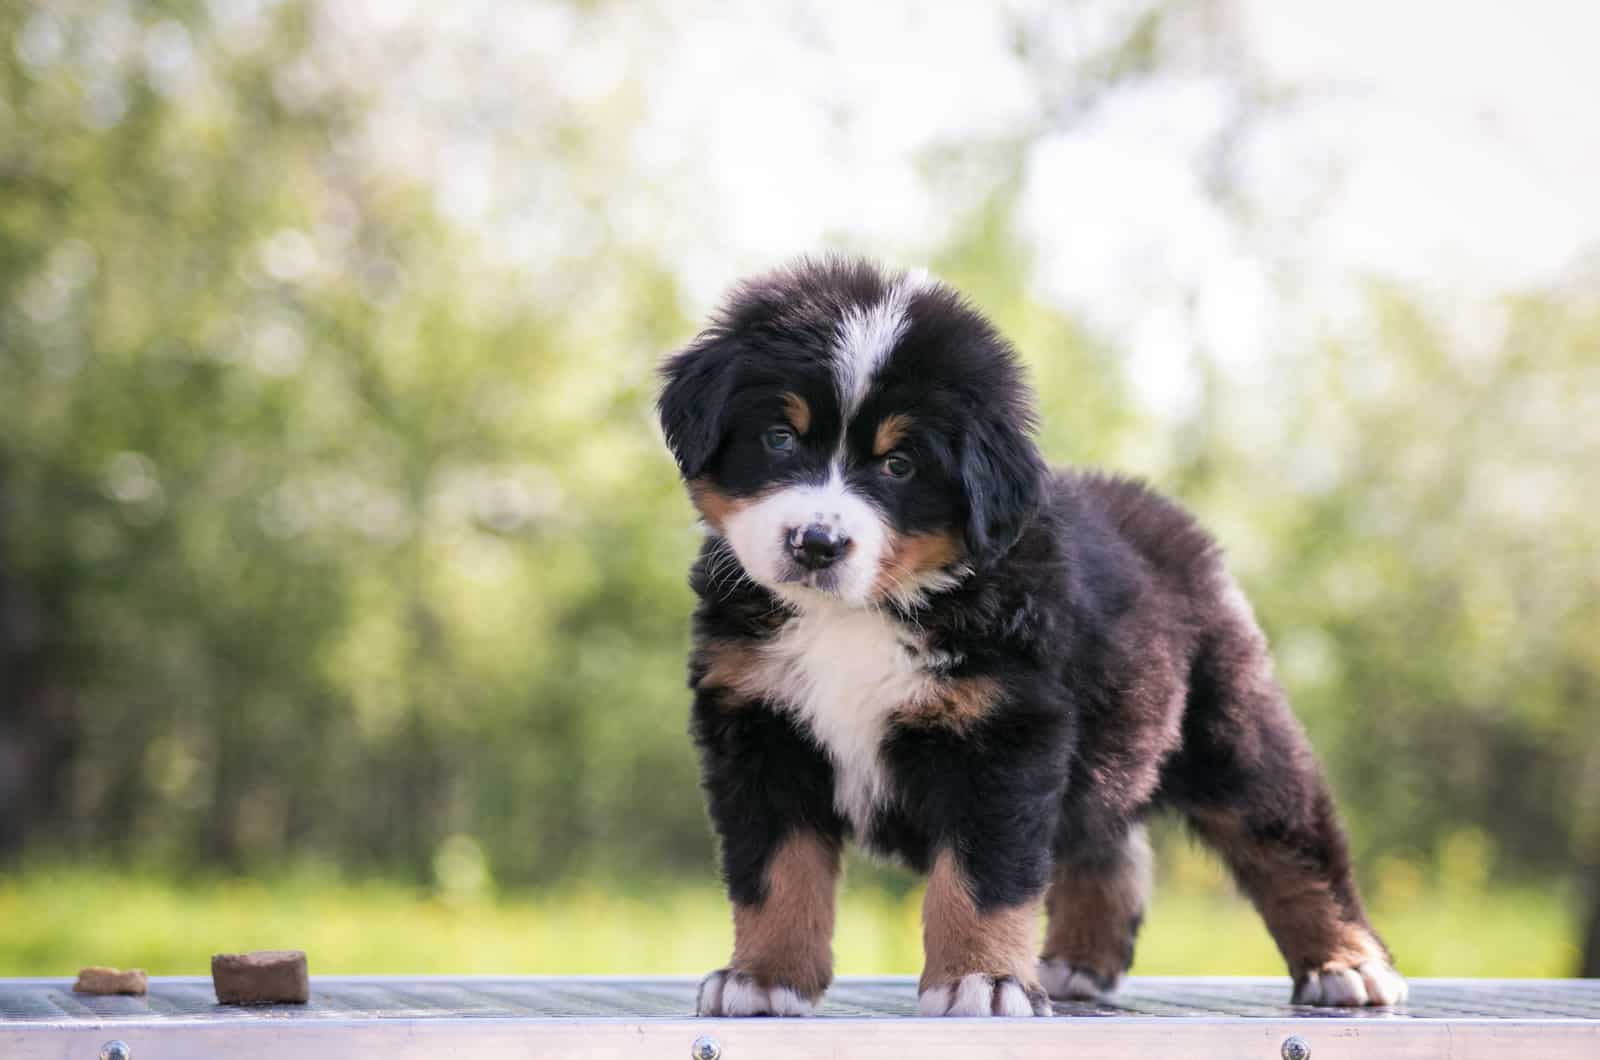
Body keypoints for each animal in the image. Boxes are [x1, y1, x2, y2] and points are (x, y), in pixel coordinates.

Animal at [656, 257, 1408, 1024]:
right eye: (779, 437)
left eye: (900, 465)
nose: (816, 543)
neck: (856, 615)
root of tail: (1163, 516)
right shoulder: (761, 729)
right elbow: (776, 872)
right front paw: (764, 978)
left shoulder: (1001, 734)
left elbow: (982, 878)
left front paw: (980, 980)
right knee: (1108, 846)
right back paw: (1079, 964)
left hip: (1232, 732)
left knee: (1291, 843)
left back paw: (1346, 964)